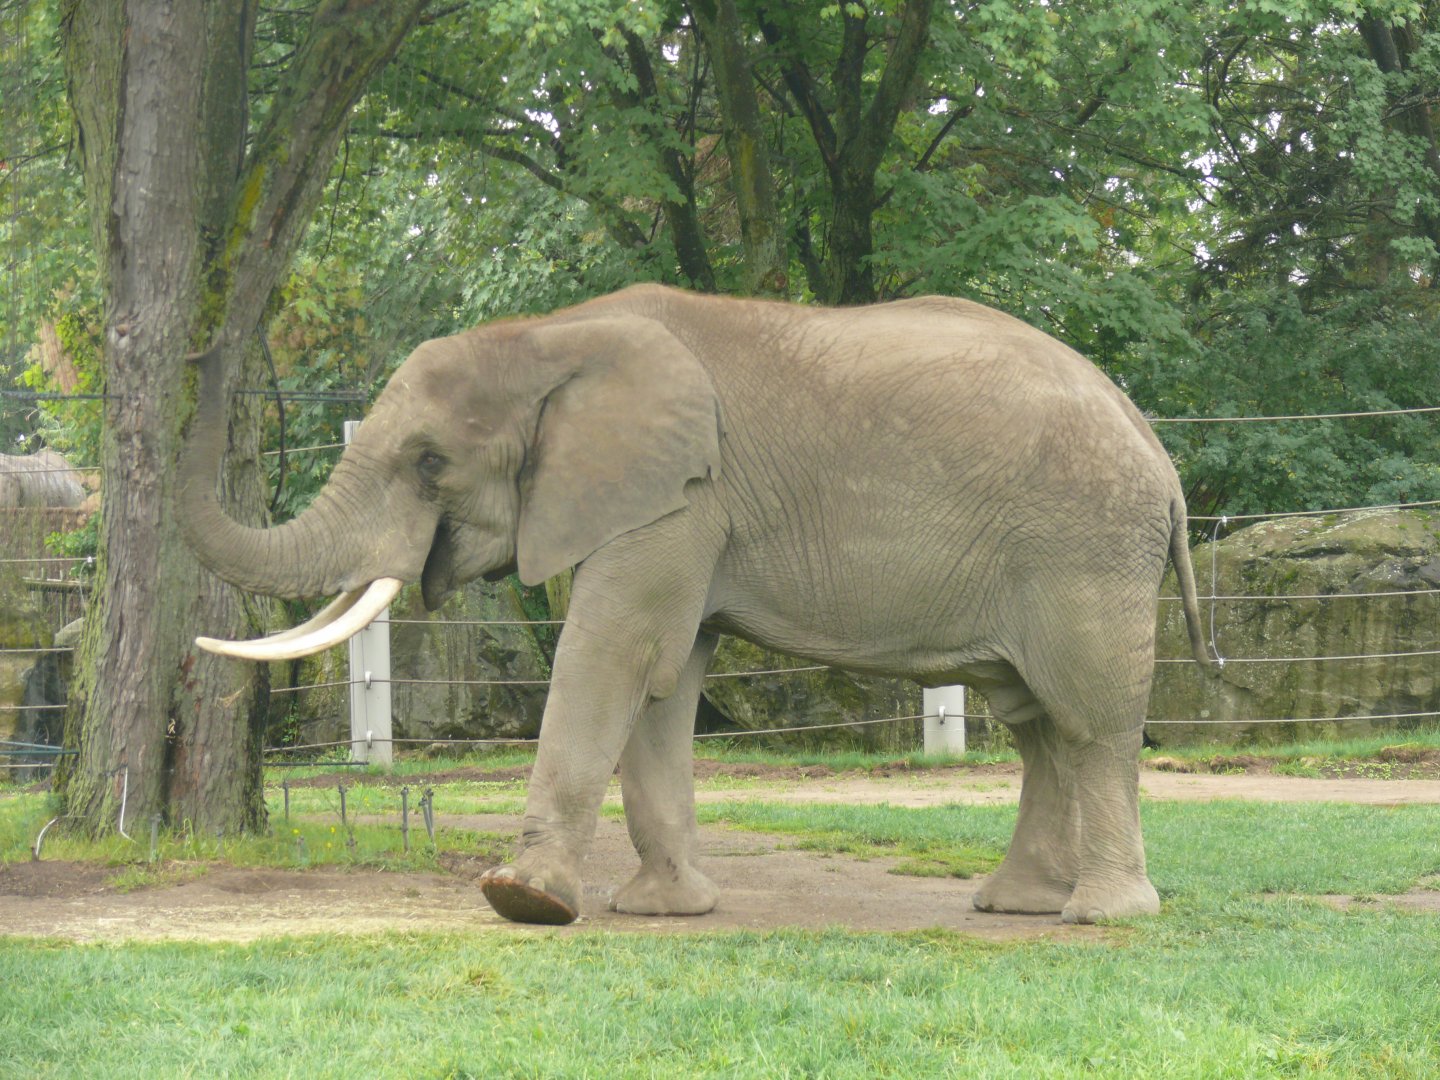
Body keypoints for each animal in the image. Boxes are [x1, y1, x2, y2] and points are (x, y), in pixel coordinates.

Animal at [180, 284, 1214, 926]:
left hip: (1085, 550)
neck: (553, 335)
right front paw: (663, 910)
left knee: (1090, 721)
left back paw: (1102, 915)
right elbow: (666, 679)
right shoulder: (672, 509)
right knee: (1037, 724)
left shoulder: (680, 496)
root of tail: (1157, 450)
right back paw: (1018, 905)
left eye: (430, 462)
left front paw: (523, 900)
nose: (209, 349)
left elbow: (615, 652)